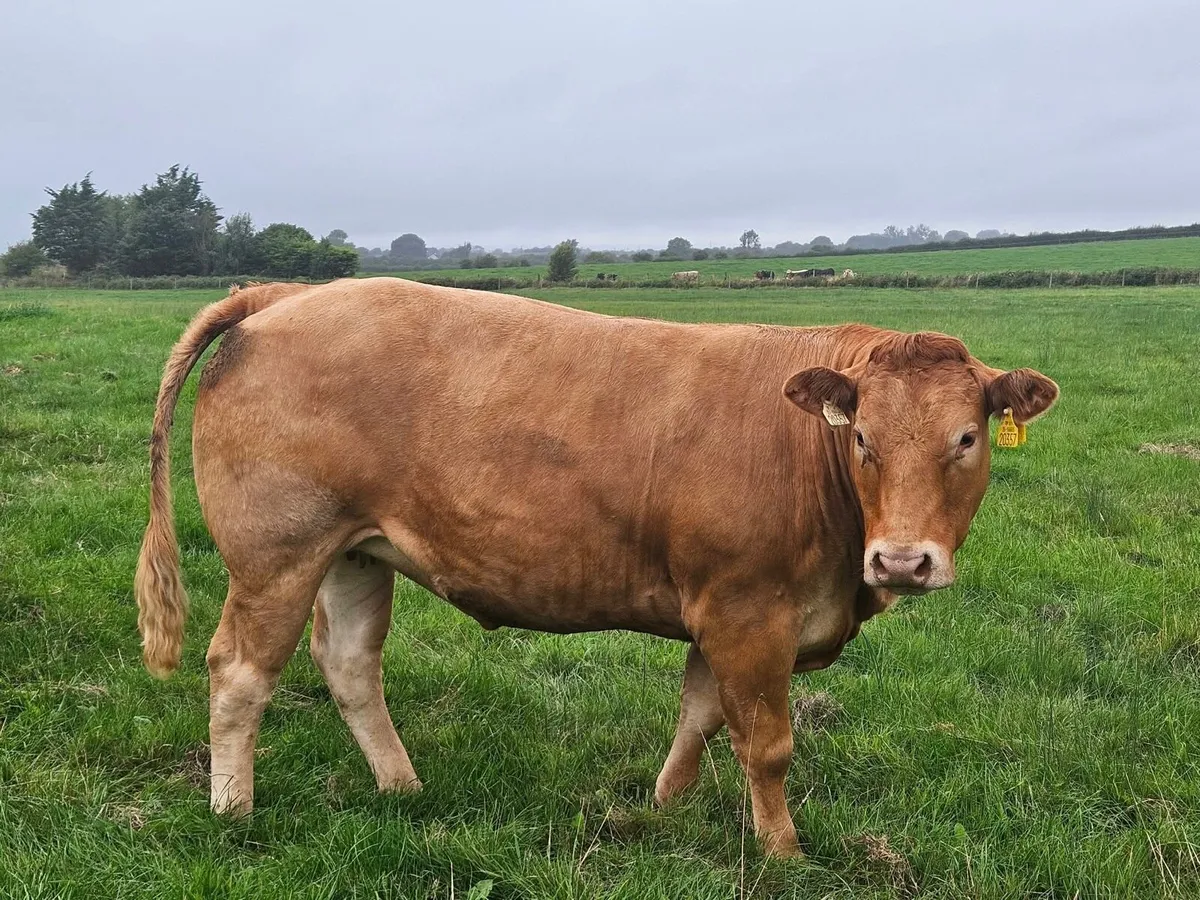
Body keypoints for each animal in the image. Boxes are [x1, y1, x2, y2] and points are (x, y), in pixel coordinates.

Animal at [135, 278, 1058, 858]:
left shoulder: (720, 607)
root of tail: (288, 294)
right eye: (863, 438)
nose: (902, 559)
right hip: (277, 555)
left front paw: (665, 807)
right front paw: (784, 852)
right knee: (241, 671)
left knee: (350, 663)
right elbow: (766, 745)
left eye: (966, 438)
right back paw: (234, 808)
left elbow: (699, 717)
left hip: (353, 552)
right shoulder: (749, 610)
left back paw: (402, 788)